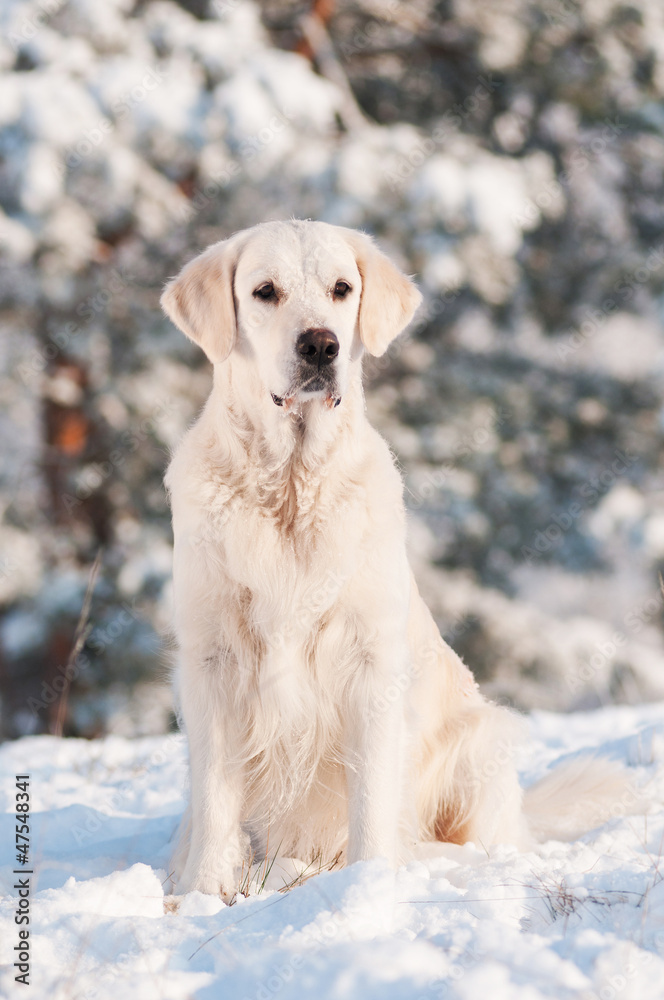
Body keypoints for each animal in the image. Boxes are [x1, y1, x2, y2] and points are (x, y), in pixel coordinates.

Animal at [163, 221, 632, 900]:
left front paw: (368, 884)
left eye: (342, 288)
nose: (320, 345)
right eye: (264, 291)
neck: (291, 487)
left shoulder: (370, 662)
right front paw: (200, 893)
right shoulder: (213, 660)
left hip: (481, 741)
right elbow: (215, 799)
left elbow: (374, 796)